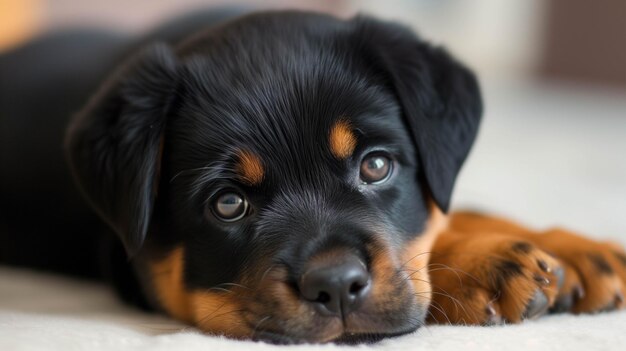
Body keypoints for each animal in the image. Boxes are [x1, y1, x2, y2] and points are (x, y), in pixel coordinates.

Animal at [0, 10, 620, 344]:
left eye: (375, 165)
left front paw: (578, 249)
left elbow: (452, 212)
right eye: (228, 204)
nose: (337, 287)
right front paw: (487, 265)